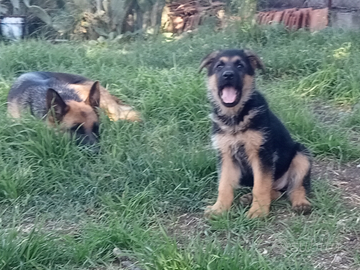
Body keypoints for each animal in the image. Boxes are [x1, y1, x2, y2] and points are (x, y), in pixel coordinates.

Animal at [200, 49, 312, 218]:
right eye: (219, 66)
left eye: (240, 65)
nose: (228, 75)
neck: (235, 118)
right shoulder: (226, 155)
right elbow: (224, 185)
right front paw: (219, 208)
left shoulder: (261, 154)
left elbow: (260, 187)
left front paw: (258, 212)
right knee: (277, 191)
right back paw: (247, 198)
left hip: (301, 155)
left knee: (295, 187)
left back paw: (301, 204)